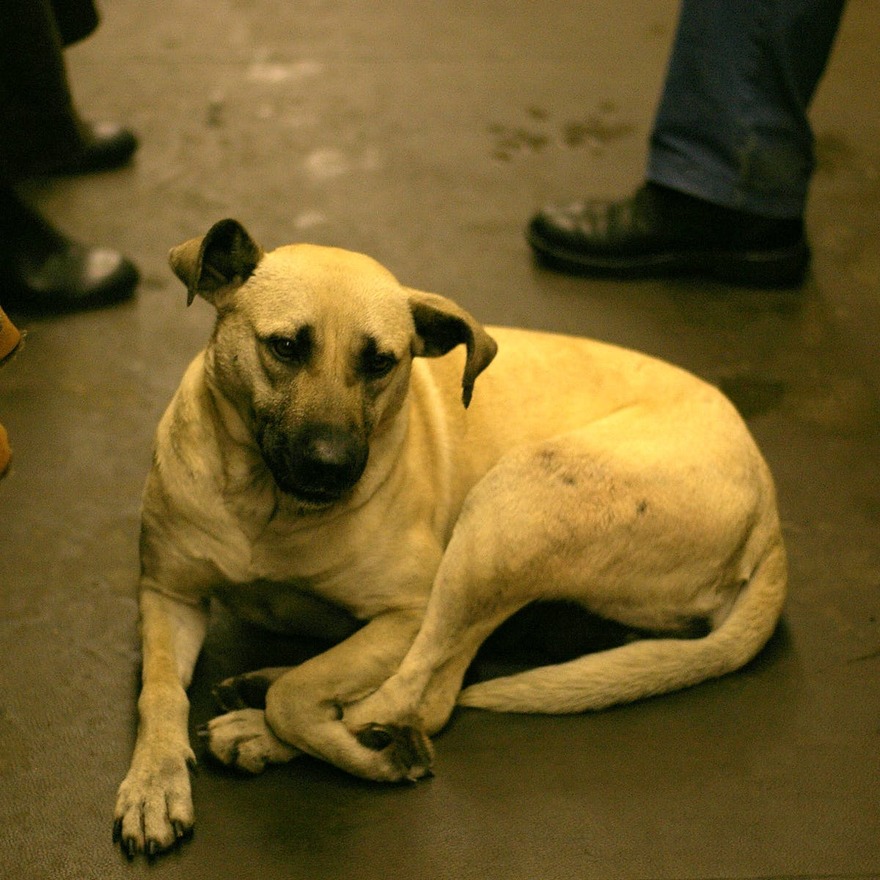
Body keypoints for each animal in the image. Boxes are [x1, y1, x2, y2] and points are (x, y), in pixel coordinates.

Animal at [113, 217, 788, 856]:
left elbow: (304, 695)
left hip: (506, 514)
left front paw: (313, 730)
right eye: (284, 347)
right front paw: (154, 784)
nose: (333, 466)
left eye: (381, 362)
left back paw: (306, 730)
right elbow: (160, 694)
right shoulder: (168, 596)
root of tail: (771, 516)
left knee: (424, 693)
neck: (267, 506)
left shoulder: (406, 612)